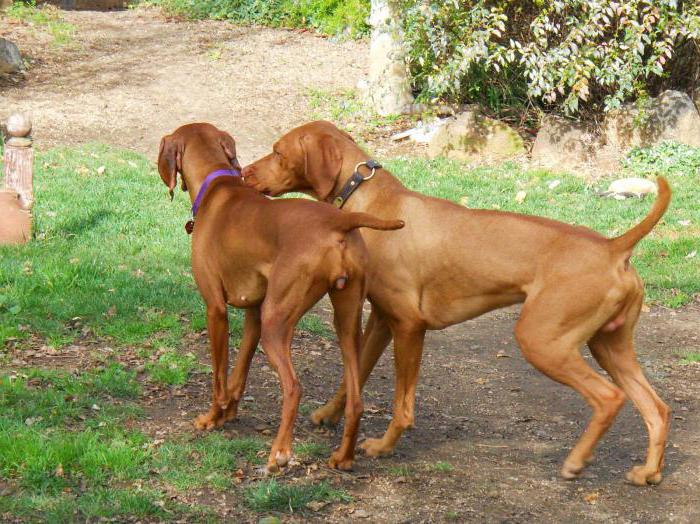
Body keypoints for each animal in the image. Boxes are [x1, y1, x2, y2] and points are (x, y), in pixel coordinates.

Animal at [155, 124, 402, 474]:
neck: (217, 184)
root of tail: (339, 220)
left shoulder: (216, 309)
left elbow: (219, 376)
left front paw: (213, 418)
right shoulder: (253, 313)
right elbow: (238, 373)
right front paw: (229, 413)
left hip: (276, 324)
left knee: (294, 387)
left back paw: (279, 454)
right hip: (346, 324)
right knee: (355, 399)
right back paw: (343, 457)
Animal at [242, 119, 672, 488]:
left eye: (278, 151)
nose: (245, 173)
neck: (371, 200)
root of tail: (614, 247)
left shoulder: (409, 326)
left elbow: (403, 405)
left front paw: (383, 446)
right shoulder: (381, 320)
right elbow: (356, 373)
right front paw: (328, 415)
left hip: (542, 341)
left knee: (609, 398)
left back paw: (576, 461)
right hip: (609, 346)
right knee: (656, 408)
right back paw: (648, 472)